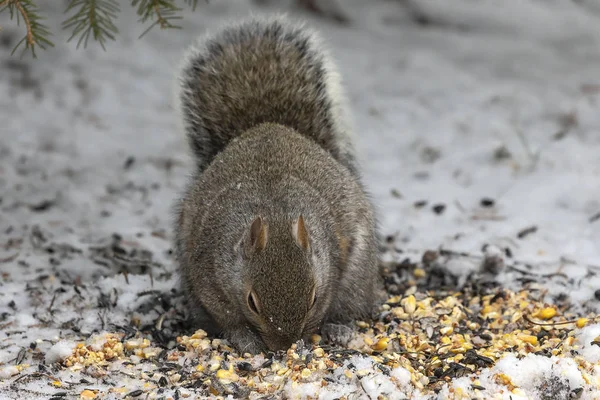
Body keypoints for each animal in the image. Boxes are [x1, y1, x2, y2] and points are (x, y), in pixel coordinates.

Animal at [173, 14, 380, 354]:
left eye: (312, 297)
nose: (282, 346)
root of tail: (268, 125)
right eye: (251, 302)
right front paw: (245, 338)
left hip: (357, 277)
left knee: (349, 306)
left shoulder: (329, 271)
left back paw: (340, 327)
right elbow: (228, 317)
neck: (276, 216)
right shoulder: (207, 274)